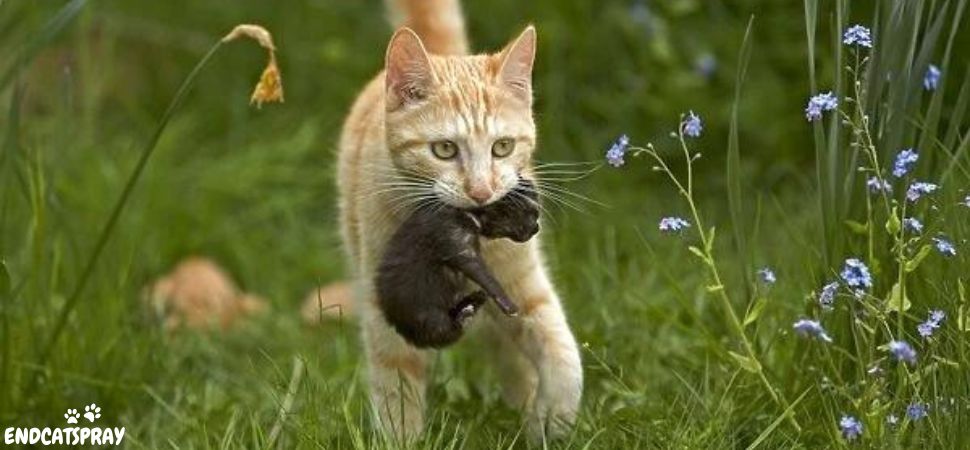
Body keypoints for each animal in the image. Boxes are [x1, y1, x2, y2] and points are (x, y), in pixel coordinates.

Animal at [376, 179, 540, 348]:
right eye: (533, 213)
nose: (536, 228)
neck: (469, 214)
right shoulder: (459, 247)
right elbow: (489, 279)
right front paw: (508, 306)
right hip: (429, 314)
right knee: (448, 332)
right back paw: (465, 312)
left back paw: (472, 303)